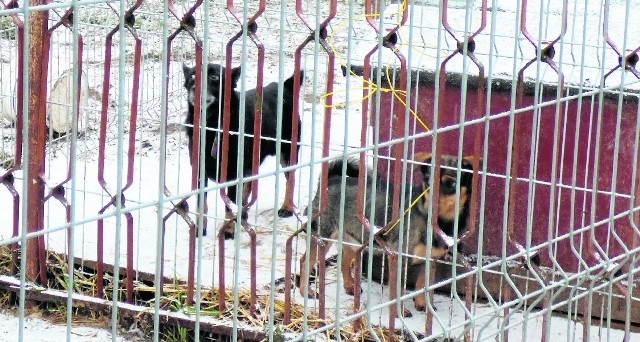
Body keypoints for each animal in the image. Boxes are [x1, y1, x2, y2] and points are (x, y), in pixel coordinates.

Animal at [184, 62, 304, 236]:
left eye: (214, 77)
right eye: (192, 75)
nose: (195, 88)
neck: (212, 125)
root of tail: (285, 86)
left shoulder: (233, 173)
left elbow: (229, 205)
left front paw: (227, 231)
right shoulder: (200, 171)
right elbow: (202, 204)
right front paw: (200, 229)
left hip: (286, 152)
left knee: (291, 178)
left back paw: (286, 208)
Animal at [298, 154, 476, 310]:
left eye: (451, 183)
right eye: (427, 181)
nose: (429, 204)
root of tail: (332, 180)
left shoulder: (431, 260)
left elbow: (422, 285)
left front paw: (422, 305)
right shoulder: (399, 258)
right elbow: (398, 291)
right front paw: (400, 312)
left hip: (353, 239)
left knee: (344, 260)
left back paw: (350, 287)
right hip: (323, 237)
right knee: (305, 261)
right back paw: (306, 292)